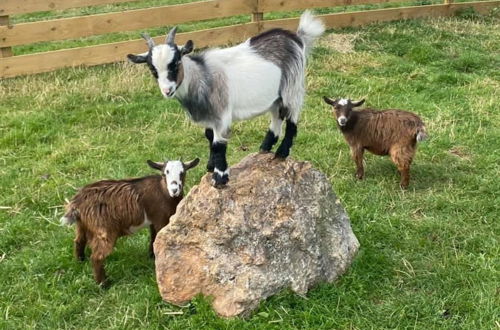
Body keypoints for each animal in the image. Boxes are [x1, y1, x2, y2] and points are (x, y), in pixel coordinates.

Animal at [127, 10, 326, 186]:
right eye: (152, 69)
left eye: (176, 62)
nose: (167, 90)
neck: (202, 76)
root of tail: (296, 38)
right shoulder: (209, 115)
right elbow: (209, 136)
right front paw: (210, 166)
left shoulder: (221, 113)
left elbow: (218, 145)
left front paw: (220, 177)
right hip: (275, 95)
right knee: (277, 116)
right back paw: (265, 146)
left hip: (292, 87)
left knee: (292, 118)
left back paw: (282, 152)